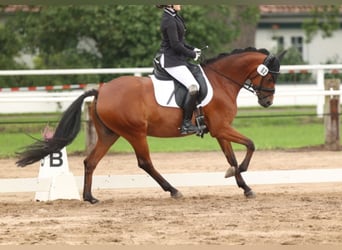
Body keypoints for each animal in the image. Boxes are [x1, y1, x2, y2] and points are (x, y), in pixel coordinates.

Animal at [18, 47, 286, 203]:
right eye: (271, 77)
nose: (267, 101)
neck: (221, 81)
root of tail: (102, 90)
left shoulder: (219, 131)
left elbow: (231, 157)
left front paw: (244, 185)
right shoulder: (221, 128)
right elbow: (250, 145)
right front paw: (239, 175)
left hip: (110, 134)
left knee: (90, 162)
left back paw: (90, 197)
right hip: (135, 133)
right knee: (145, 162)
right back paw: (173, 190)